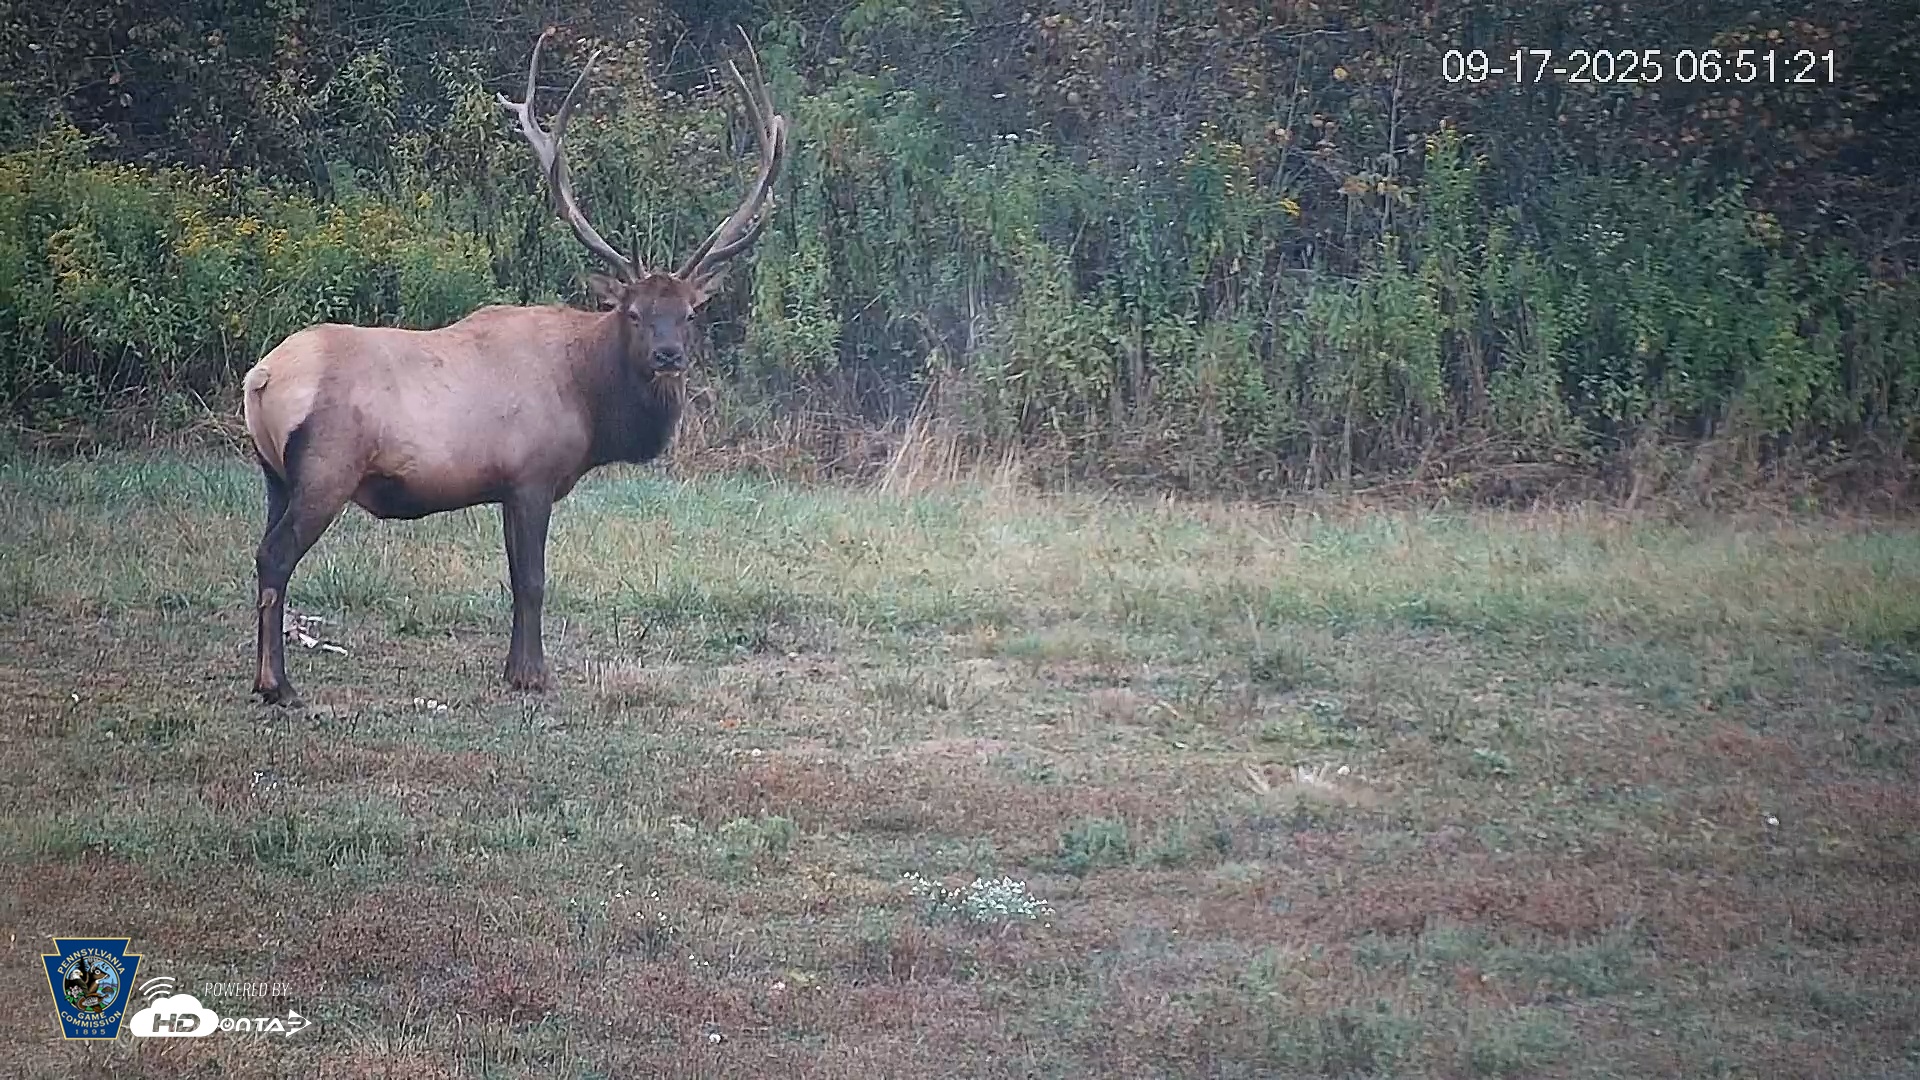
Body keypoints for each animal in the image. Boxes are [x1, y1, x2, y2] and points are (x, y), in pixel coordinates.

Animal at [239, 27, 788, 707]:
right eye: (633, 312)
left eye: (689, 313)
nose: (669, 355)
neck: (590, 403)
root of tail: (260, 378)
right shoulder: (532, 473)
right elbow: (533, 578)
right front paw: (533, 675)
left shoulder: (504, 486)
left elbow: (511, 576)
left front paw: (513, 668)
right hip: (325, 468)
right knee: (276, 556)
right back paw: (278, 684)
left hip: (273, 473)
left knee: (262, 551)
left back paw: (264, 678)